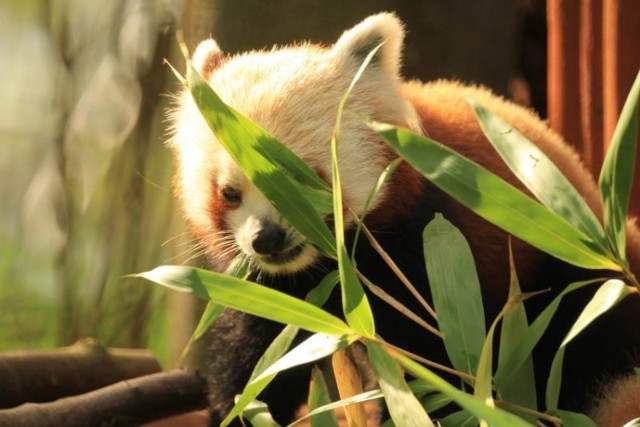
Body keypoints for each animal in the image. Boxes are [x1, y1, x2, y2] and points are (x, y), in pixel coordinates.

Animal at [169, 11, 640, 426]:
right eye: (229, 194)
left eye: (298, 178)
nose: (266, 238)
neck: (335, 270)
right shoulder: (272, 289)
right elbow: (258, 366)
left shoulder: (434, 255)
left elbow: (440, 372)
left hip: (571, 285)